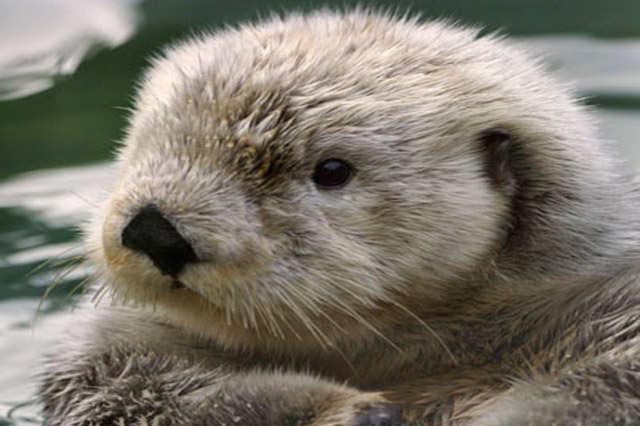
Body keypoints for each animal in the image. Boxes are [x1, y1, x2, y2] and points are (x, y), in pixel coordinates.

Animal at [39, 10, 640, 426]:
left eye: (332, 170)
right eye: (145, 138)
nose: (155, 231)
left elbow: (604, 384)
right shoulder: (108, 349)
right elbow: (132, 391)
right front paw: (350, 409)